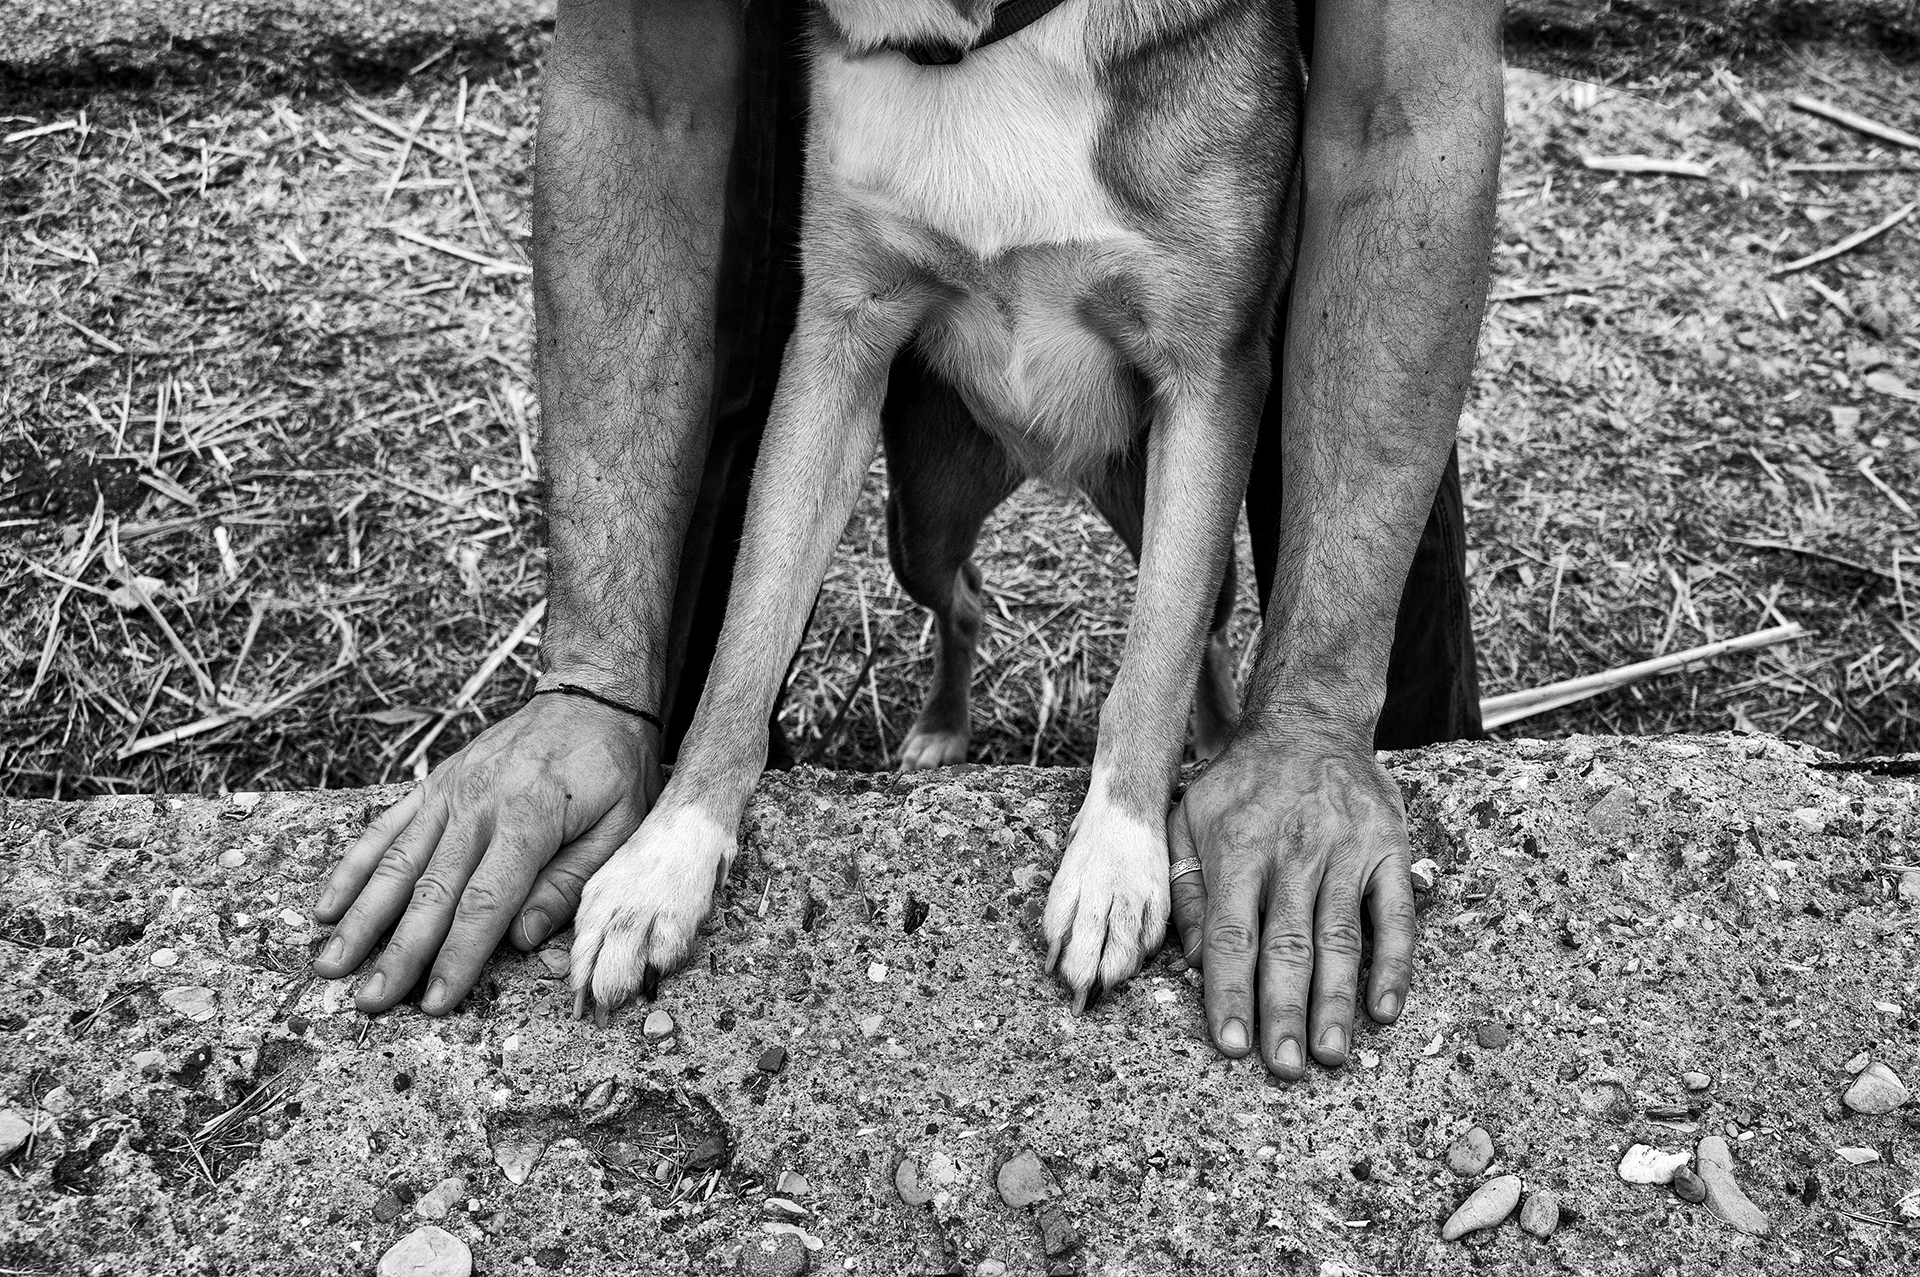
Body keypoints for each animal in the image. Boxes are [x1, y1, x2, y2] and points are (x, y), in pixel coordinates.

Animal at [560, 0, 1297, 1013]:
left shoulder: (1212, 376)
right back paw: (944, 730)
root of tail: (1048, 459)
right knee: (967, 601)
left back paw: (1221, 735)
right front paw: (662, 860)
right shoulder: (836, 342)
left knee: (1206, 630)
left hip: (1160, 510)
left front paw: (1115, 864)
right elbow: (747, 637)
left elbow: (1154, 662)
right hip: (923, 519)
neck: (979, 47)